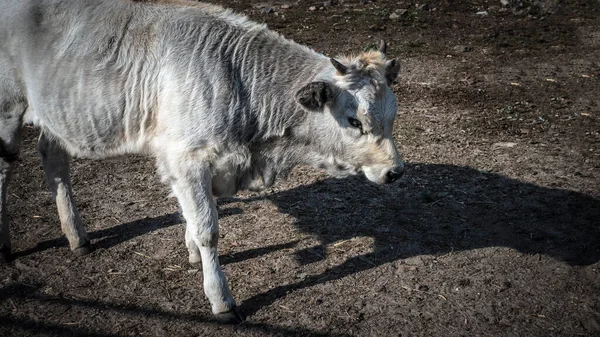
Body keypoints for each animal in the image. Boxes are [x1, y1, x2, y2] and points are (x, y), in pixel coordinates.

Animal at [0, 0, 406, 322]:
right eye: (354, 121)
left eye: (392, 115)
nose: (395, 171)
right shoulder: (186, 158)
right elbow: (208, 227)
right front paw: (220, 299)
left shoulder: (204, 164)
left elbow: (196, 214)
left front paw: (192, 251)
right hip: (7, 110)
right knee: (5, 169)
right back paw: (6, 245)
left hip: (55, 117)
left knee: (54, 160)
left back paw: (76, 236)